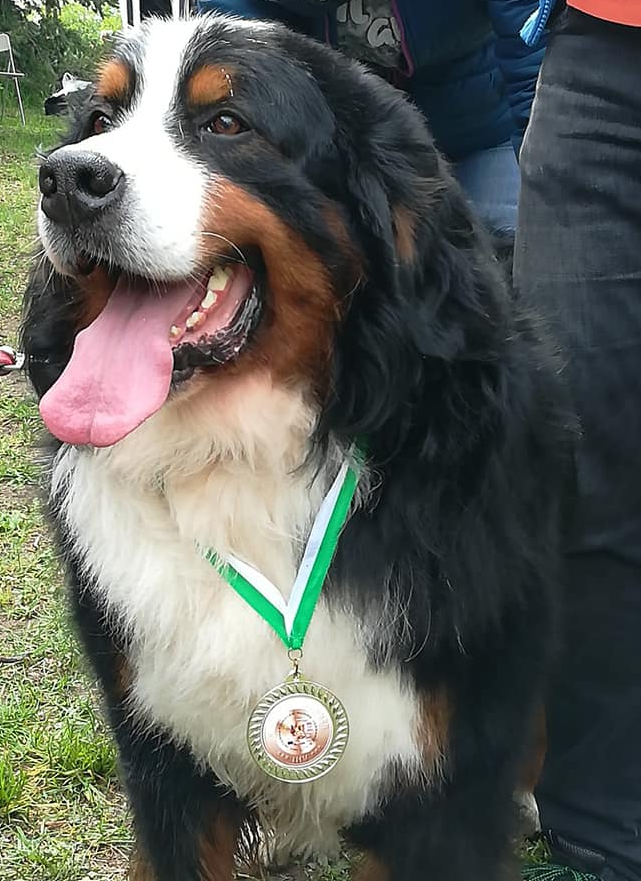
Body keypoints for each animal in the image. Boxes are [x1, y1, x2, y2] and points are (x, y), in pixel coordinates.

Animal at [22, 13, 568, 880]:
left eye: (226, 124)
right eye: (100, 119)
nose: (67, 178)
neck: (241, 460)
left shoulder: (444, 779)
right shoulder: (162, 759)